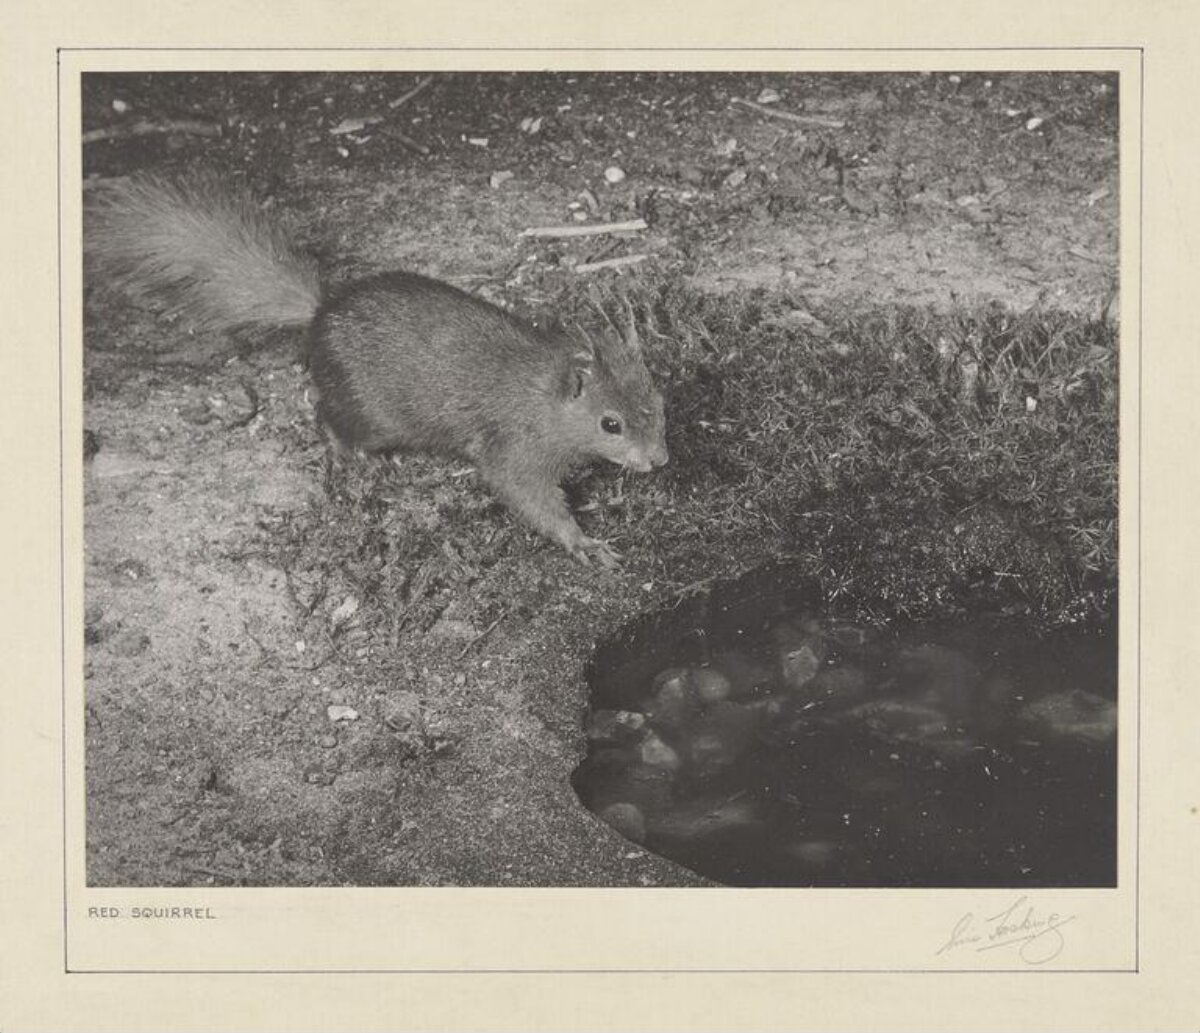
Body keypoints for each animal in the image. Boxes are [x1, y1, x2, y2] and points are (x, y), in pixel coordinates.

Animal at [85, 174, 669, 567]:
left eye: (659, 403)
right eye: (610, 424)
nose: (660, 460)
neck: (544, 394)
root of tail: (319, 312)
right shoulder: (514, 453)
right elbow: (531, 499)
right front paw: (585, 543)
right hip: (370, 413)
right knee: (327, 418)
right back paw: (358, 460)